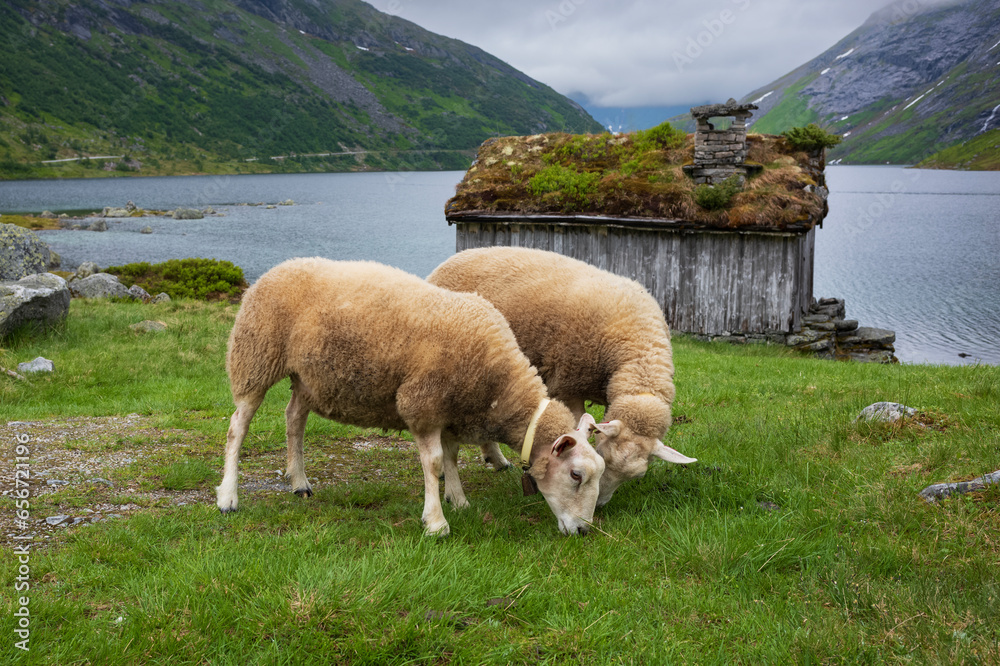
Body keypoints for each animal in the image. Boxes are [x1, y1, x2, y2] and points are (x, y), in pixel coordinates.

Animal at [216, 257, 605, 537]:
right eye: (575, 475)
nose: (584, 531)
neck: (498, 382)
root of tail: (276, 268)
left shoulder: (450, 410)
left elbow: (451, 457)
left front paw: (459, 501)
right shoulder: (422, 403)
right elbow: (433, 463)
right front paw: (436, 522)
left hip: (306, 377)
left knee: (294, 419)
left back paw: (299, 483)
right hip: (255, 357)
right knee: (237, 428)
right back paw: (228, 497)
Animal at [428, 246, 696, 507]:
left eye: (637, 476)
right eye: (602, 455)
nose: (600, 503)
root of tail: (452, 259)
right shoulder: (568, 385)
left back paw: (497, 460)